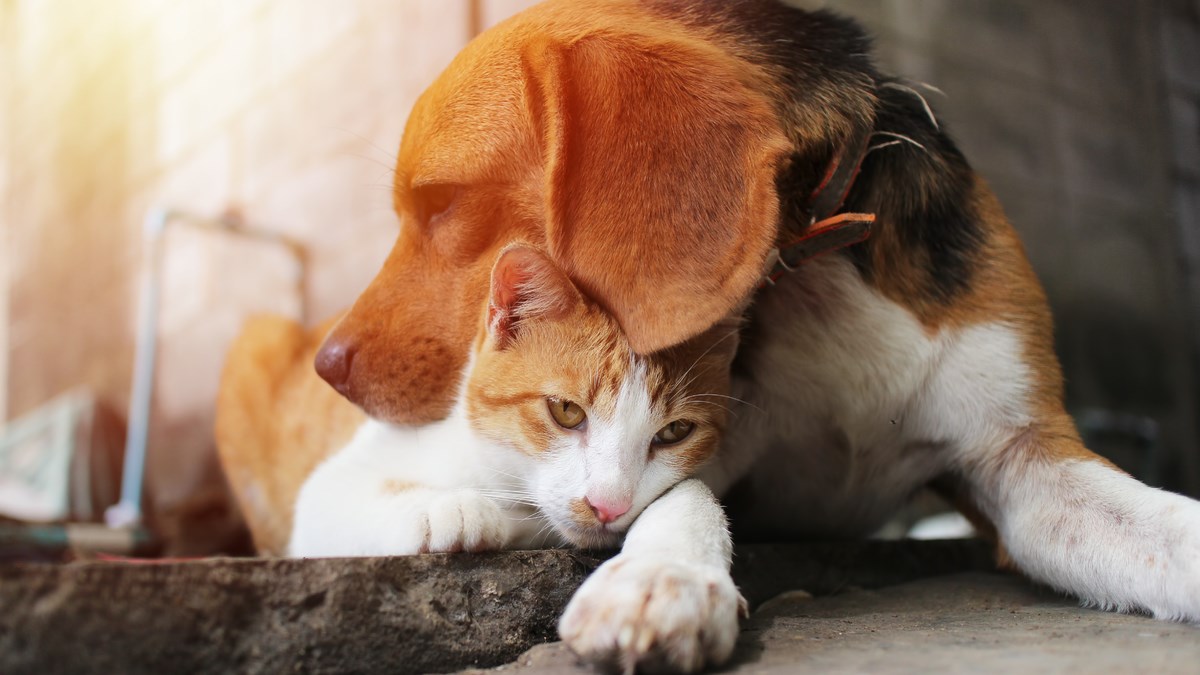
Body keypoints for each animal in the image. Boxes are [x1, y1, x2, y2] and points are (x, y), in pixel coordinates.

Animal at [216, 2, 1200, 667]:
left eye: (442, 205)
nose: (328, 365)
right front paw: (662, 583)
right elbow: (681, 499)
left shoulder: (1023, 459)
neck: (814, 263)